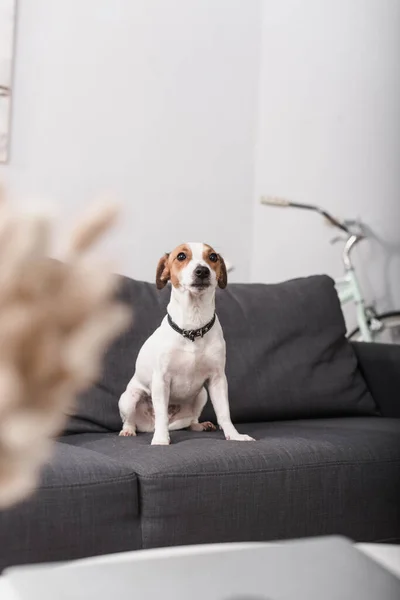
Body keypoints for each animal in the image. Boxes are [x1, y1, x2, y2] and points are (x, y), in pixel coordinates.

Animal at [118, 241, 253, 442]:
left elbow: (224, 413)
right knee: (132, 419)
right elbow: (161, 414)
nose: (202, 271)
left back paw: (200, 425)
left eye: (212, 257)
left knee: (191, 421)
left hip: (202, 395)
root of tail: (148, 426)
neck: (193, 328)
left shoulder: (218, 380)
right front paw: (161, 439)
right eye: (181, 256)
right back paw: (130, 430)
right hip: (128, 398)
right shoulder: (161, 380)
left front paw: (234, 435)